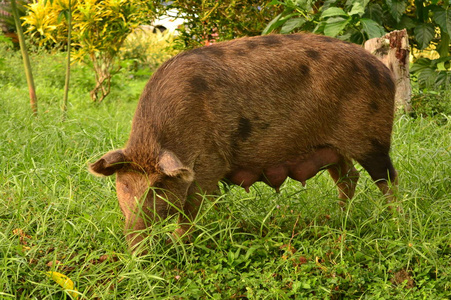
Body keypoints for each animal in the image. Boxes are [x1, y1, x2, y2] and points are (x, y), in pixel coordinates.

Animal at [90, 32, 398, 251]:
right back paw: (339, 218)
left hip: (373, 137)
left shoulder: (210, 163)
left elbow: (191, 208)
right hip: (332, 149)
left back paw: (394, 220)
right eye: (124, 185)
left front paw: (175, 242)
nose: (137, 246)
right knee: (349, 178)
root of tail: (385, 71)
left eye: (158, 186)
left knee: (387, 179)